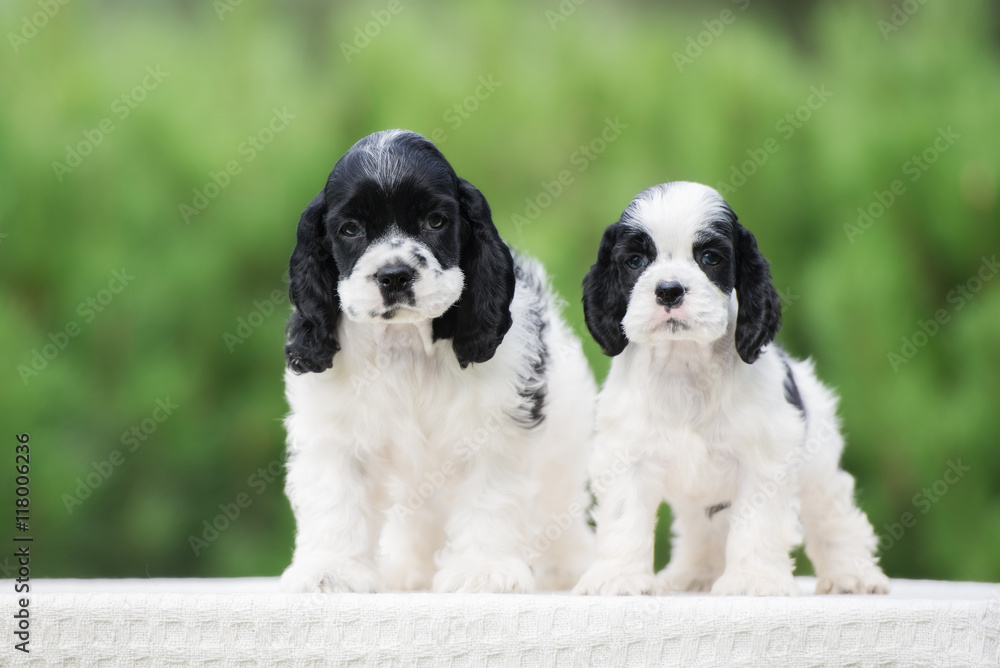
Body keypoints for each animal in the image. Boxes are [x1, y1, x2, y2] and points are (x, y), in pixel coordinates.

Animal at [280, 130, 592, 596]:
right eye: (350, 229)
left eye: (435, 221)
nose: (394, 275)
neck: (406, 344)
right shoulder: (333, 433)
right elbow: (336, 499)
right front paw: (331, 570)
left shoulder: (496, 428)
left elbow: (489, 497)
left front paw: (483, 570)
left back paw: (566, 567)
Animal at [576, 181, 888, 596]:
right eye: (635, 261)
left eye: (710, 257)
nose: (669, 290)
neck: (684, 363)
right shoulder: (626, 455)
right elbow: (623, 516)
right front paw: (618, 577)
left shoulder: (763, 460)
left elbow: (756, 524)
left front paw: (752, 580)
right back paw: (693, 574)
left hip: (819, 468)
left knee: (834, 516)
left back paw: (852, 574)